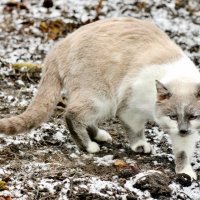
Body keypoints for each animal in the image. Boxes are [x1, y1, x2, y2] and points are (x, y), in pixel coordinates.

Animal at [0, 17, 200, 180]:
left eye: (193, 117)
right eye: (173, 116)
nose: (182, 130)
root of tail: (59, 45)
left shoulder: (189, 131)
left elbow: (183, 152)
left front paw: (185, 173)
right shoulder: (130, 111)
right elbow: (136, 132)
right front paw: (140, 146)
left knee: (82, 116)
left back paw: (100, 135)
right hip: (104, 100)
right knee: (71, 114)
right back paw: (89, 146)